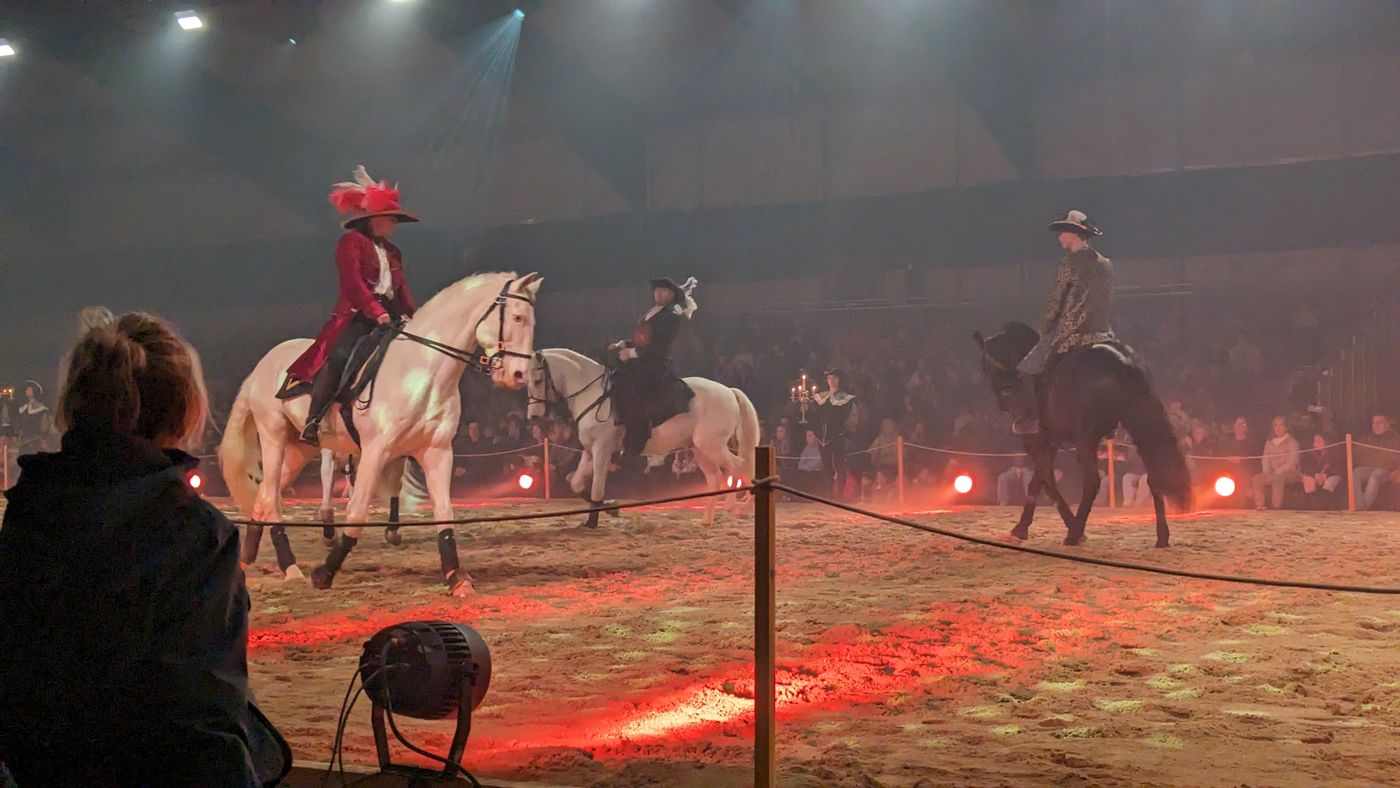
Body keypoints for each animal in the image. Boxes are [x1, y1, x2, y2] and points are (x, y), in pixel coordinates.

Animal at [221, 268, 543, 596]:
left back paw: (248, 557)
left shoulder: (437, 451)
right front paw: (325, 572)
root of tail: (262, 366)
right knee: (271, 495)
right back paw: (290, 566)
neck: (420, 369)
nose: (518, 375)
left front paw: (456, 577)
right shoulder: (375, 451)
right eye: (517, 317)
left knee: (263, 495)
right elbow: (357, 511)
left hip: (301, 448)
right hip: (273, 434)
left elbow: (444, 512)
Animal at [526, 348, 761, 526]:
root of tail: (729, 391)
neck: (594, 395)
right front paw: (609, 508)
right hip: (701, 449)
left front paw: (593, 520)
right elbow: (575, 482)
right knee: (716, 477)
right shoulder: (591, 450)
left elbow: (597, 487)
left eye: (537, 380)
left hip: (712, 446)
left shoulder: (602, 449)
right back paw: (707, 519)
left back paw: (737, 507)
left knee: (738, 466)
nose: (533, 416)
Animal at [974, 320, 1192, 548]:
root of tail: (1123, 363)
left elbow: (1045, 482)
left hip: (1087, 437)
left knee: (1092, 481)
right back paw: (1162, 537)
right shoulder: (1052, 441)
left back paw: (1074, 533)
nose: (1002, 402)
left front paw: (1023, 528)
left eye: (985, 366)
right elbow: (1041, 480)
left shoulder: (1036, 441)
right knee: (1155, 474)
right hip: (1140, 425)